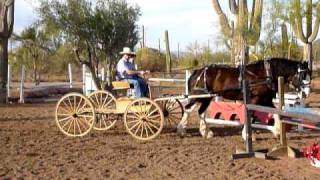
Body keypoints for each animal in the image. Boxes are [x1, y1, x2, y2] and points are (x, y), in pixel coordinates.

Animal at [176, 57, 312, 138]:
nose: (307, 92)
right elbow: (250, 114)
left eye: (309, 74)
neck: (265, 74)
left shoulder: (265, 99)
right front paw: (246, 135)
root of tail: (197, 72)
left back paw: (206, 132)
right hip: (198, 95)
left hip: (206, 97)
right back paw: (181, 129)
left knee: (200, 111)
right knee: (188, 108)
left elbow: (275, 112)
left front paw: (277, 130)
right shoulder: (255, 99)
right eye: (302, 75)